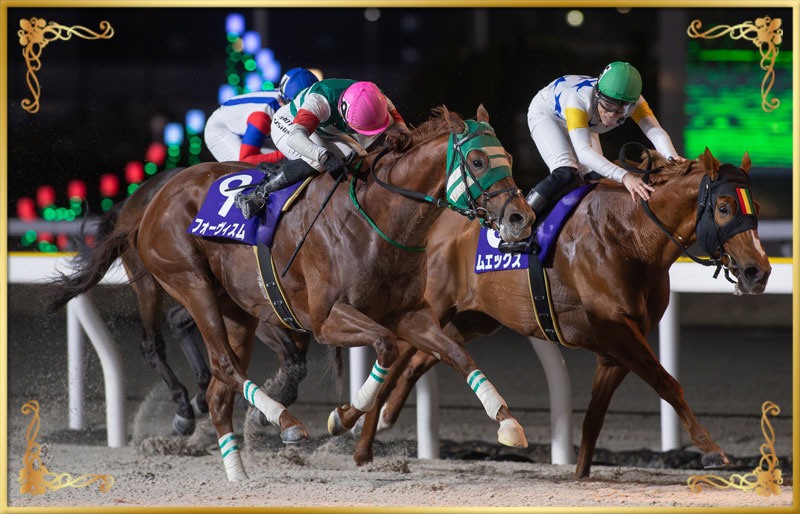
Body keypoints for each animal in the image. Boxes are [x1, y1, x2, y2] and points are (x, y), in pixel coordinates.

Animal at [46, 167, 312, 436]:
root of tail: (132, 200)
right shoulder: (260, 306)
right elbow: (294, 361)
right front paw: (263, 413)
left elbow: (296, 359)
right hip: (151, 282)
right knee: (152, 343)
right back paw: (184, 407)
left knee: (177, 321)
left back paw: (200, 395)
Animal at [133, 105, 535, 480]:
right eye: (478, 161)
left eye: (509, 158)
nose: (522, 218)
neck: (378, 218)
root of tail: (158, 195)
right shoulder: (327, 319)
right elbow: (386, 347)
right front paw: (343, 418)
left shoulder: (410, 315)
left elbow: (456, 354)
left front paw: (508, 422)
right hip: (192, 283)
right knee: (222, 364)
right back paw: (285, 422)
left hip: (238, 310)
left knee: (218, 392)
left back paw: (237, 473)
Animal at [342, 148, 771, 479]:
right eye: (723, 207)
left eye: (755, 207)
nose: (759, 271)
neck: (629, 237)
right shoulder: (617, 331)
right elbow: (668, 383)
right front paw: (712, 451)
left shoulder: (617, 347)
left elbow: (594, 416)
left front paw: (580, 475)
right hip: (429, 307)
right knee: (399, 356)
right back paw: (360, 435)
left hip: (472, 320)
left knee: (419, 360)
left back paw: (375, 426)